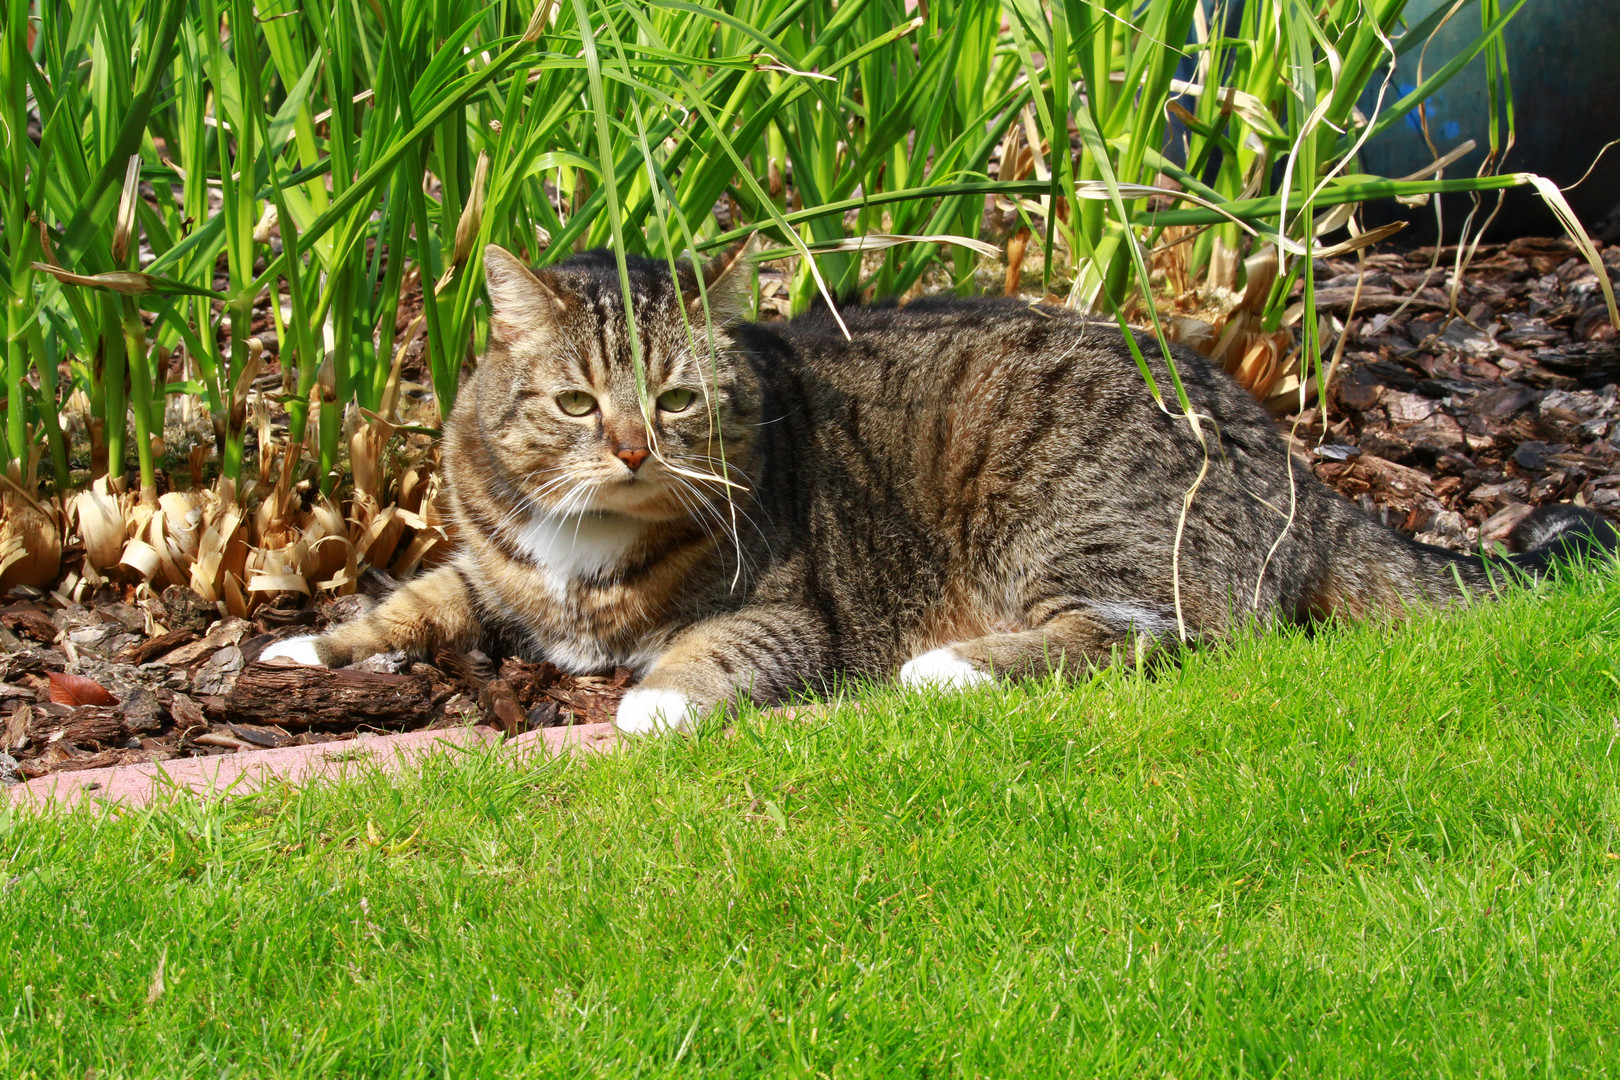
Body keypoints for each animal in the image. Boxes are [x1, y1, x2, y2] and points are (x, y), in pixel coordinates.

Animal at [259, 244, 1613, 735]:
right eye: (580, 406)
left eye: (678, 402)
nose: (638, 451)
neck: (591, 549)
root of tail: (1295, 459)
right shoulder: (486, 567)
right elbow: (418, 602)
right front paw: (302, 653)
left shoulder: (787, 612)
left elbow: (710, 653)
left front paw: (647, 704)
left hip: (1075, 530)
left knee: (1172, 641)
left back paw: (950, 667)